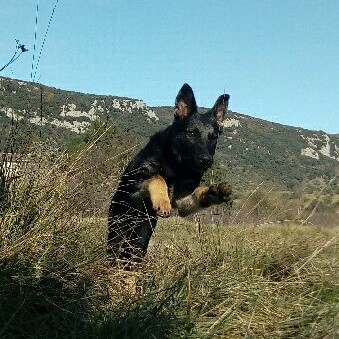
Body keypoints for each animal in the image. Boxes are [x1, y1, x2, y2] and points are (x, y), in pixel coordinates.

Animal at [109, 83, 234, 268]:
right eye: (192, 133)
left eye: (213, 137)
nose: (206, 160)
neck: (176, 165)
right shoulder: (134, 183)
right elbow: (158, 177)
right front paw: (162, 201)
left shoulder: (182, 200)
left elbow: (197, 192)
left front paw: (214, 191)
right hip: (118, 231)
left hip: (140, 241)